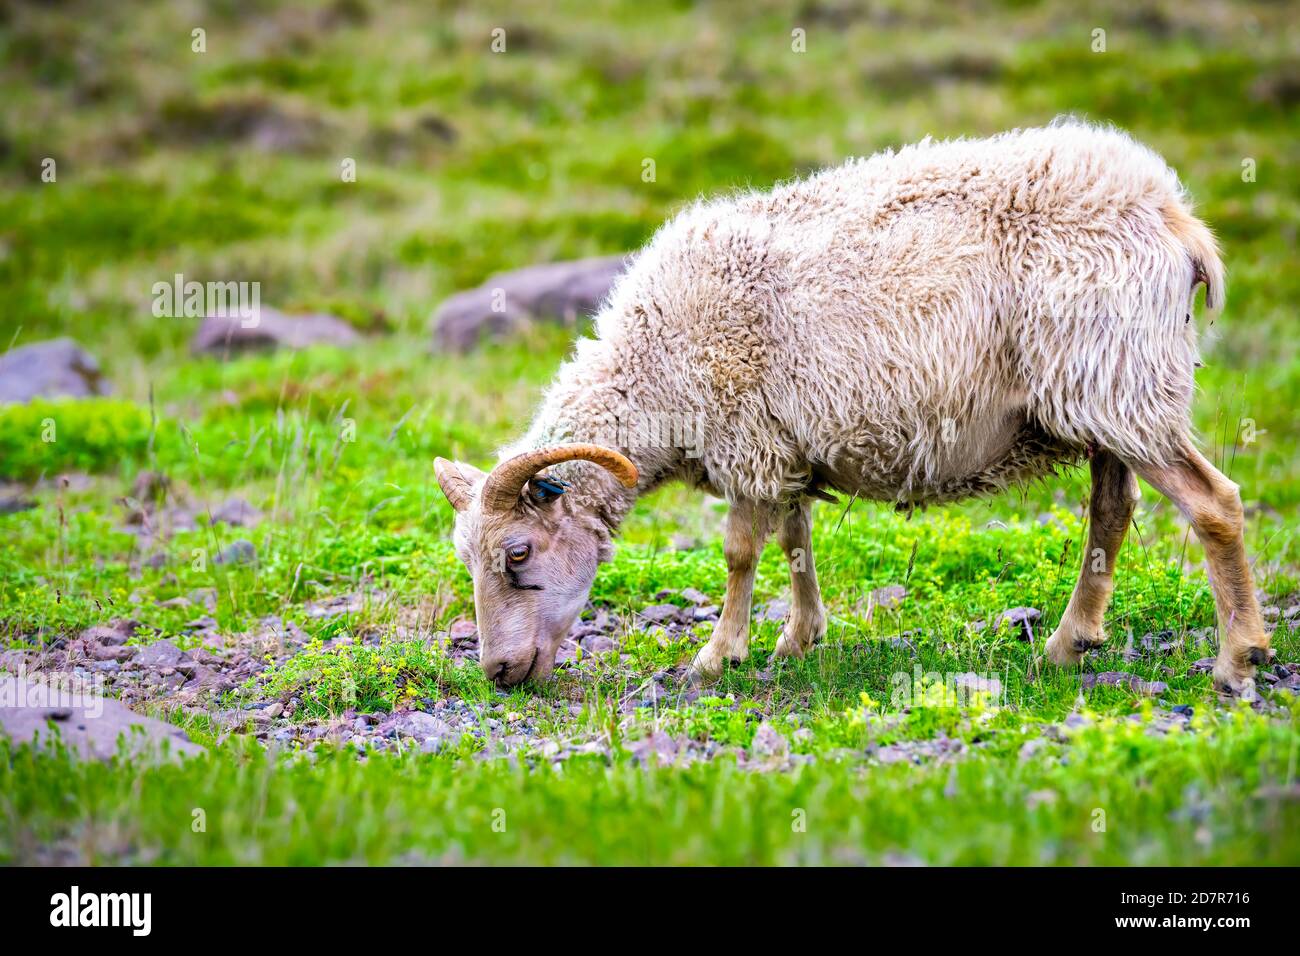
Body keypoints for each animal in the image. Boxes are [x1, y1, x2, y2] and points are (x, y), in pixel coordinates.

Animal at [434, 120, 1270, 696]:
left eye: (518, 555)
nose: (499, 673)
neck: (652, 368)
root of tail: (1175, 218)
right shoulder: (784, 444)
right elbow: (794, 541)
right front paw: (800, 637)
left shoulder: (745, 438)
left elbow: (740, 553)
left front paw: (717, 655)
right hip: (1102, 397)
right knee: (1111, 514)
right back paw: (1070, 644)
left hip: (1119, 383)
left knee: (1214, 505)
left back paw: (1239, 658)